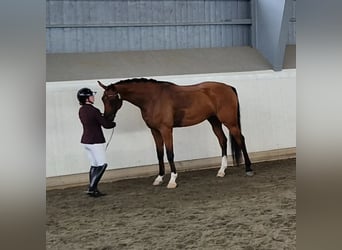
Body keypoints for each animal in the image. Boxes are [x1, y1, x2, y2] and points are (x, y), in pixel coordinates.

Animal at [97, 78, 252, 188]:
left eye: (112, 98)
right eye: (103, 99)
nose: (107, 118)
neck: (153, 98)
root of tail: (228, 87)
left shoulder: (166, 129)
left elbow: (170, 153)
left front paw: (172, 180)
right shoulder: (155, 131)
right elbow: (159, 154)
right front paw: (159, 178)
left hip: (230, 122)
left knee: (240, 139)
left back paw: (248, 168)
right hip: (214, 121)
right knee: (223, 140)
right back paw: (221, 171)